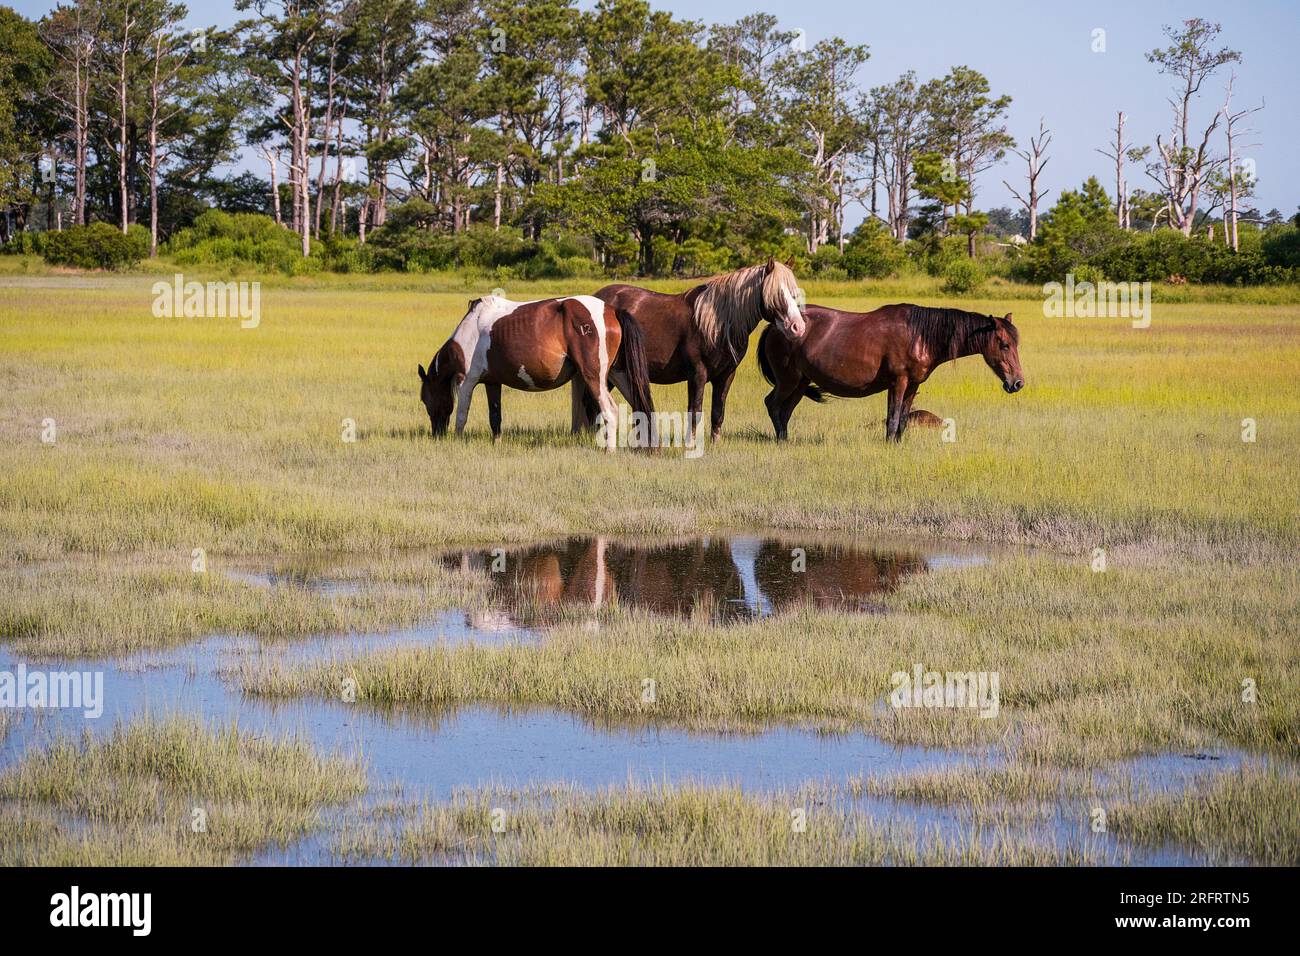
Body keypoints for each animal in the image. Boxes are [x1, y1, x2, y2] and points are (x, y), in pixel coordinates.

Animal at [418, 294, 654, 451]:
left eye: (425, 399)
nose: (437, 434)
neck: (471, 328)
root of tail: (612, 310)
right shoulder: (492, 383)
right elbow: (495, 415)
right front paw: (497, 443)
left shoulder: (467, 381)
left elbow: (461, 415)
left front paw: (457, 441)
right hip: (619, 375)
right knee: (640, 406)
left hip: (594, 378)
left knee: (610, 411)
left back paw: (609, 449)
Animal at [571, 258, 807, 443]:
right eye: (777, 293)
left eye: (794, 293)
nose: (798, 327)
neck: (717, 324)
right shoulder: (697, 374)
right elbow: (695, 411)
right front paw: (691, 443)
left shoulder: (726, 375)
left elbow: (718, 412)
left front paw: (715, 443)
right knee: (591, 404)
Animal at [757, 304, 1024, 442]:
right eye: (1004, 345)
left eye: (1015, 344)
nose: (1018, 383)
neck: (919, 335)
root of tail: (775, 325)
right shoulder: (898, 382)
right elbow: (893, 418)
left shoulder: (912, 385)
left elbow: (903, 419)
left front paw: (897, 444)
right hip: (788, 380)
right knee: (773, 405)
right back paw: (781, 440)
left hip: (800, 382)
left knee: (785, 411)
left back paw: (785, 439)